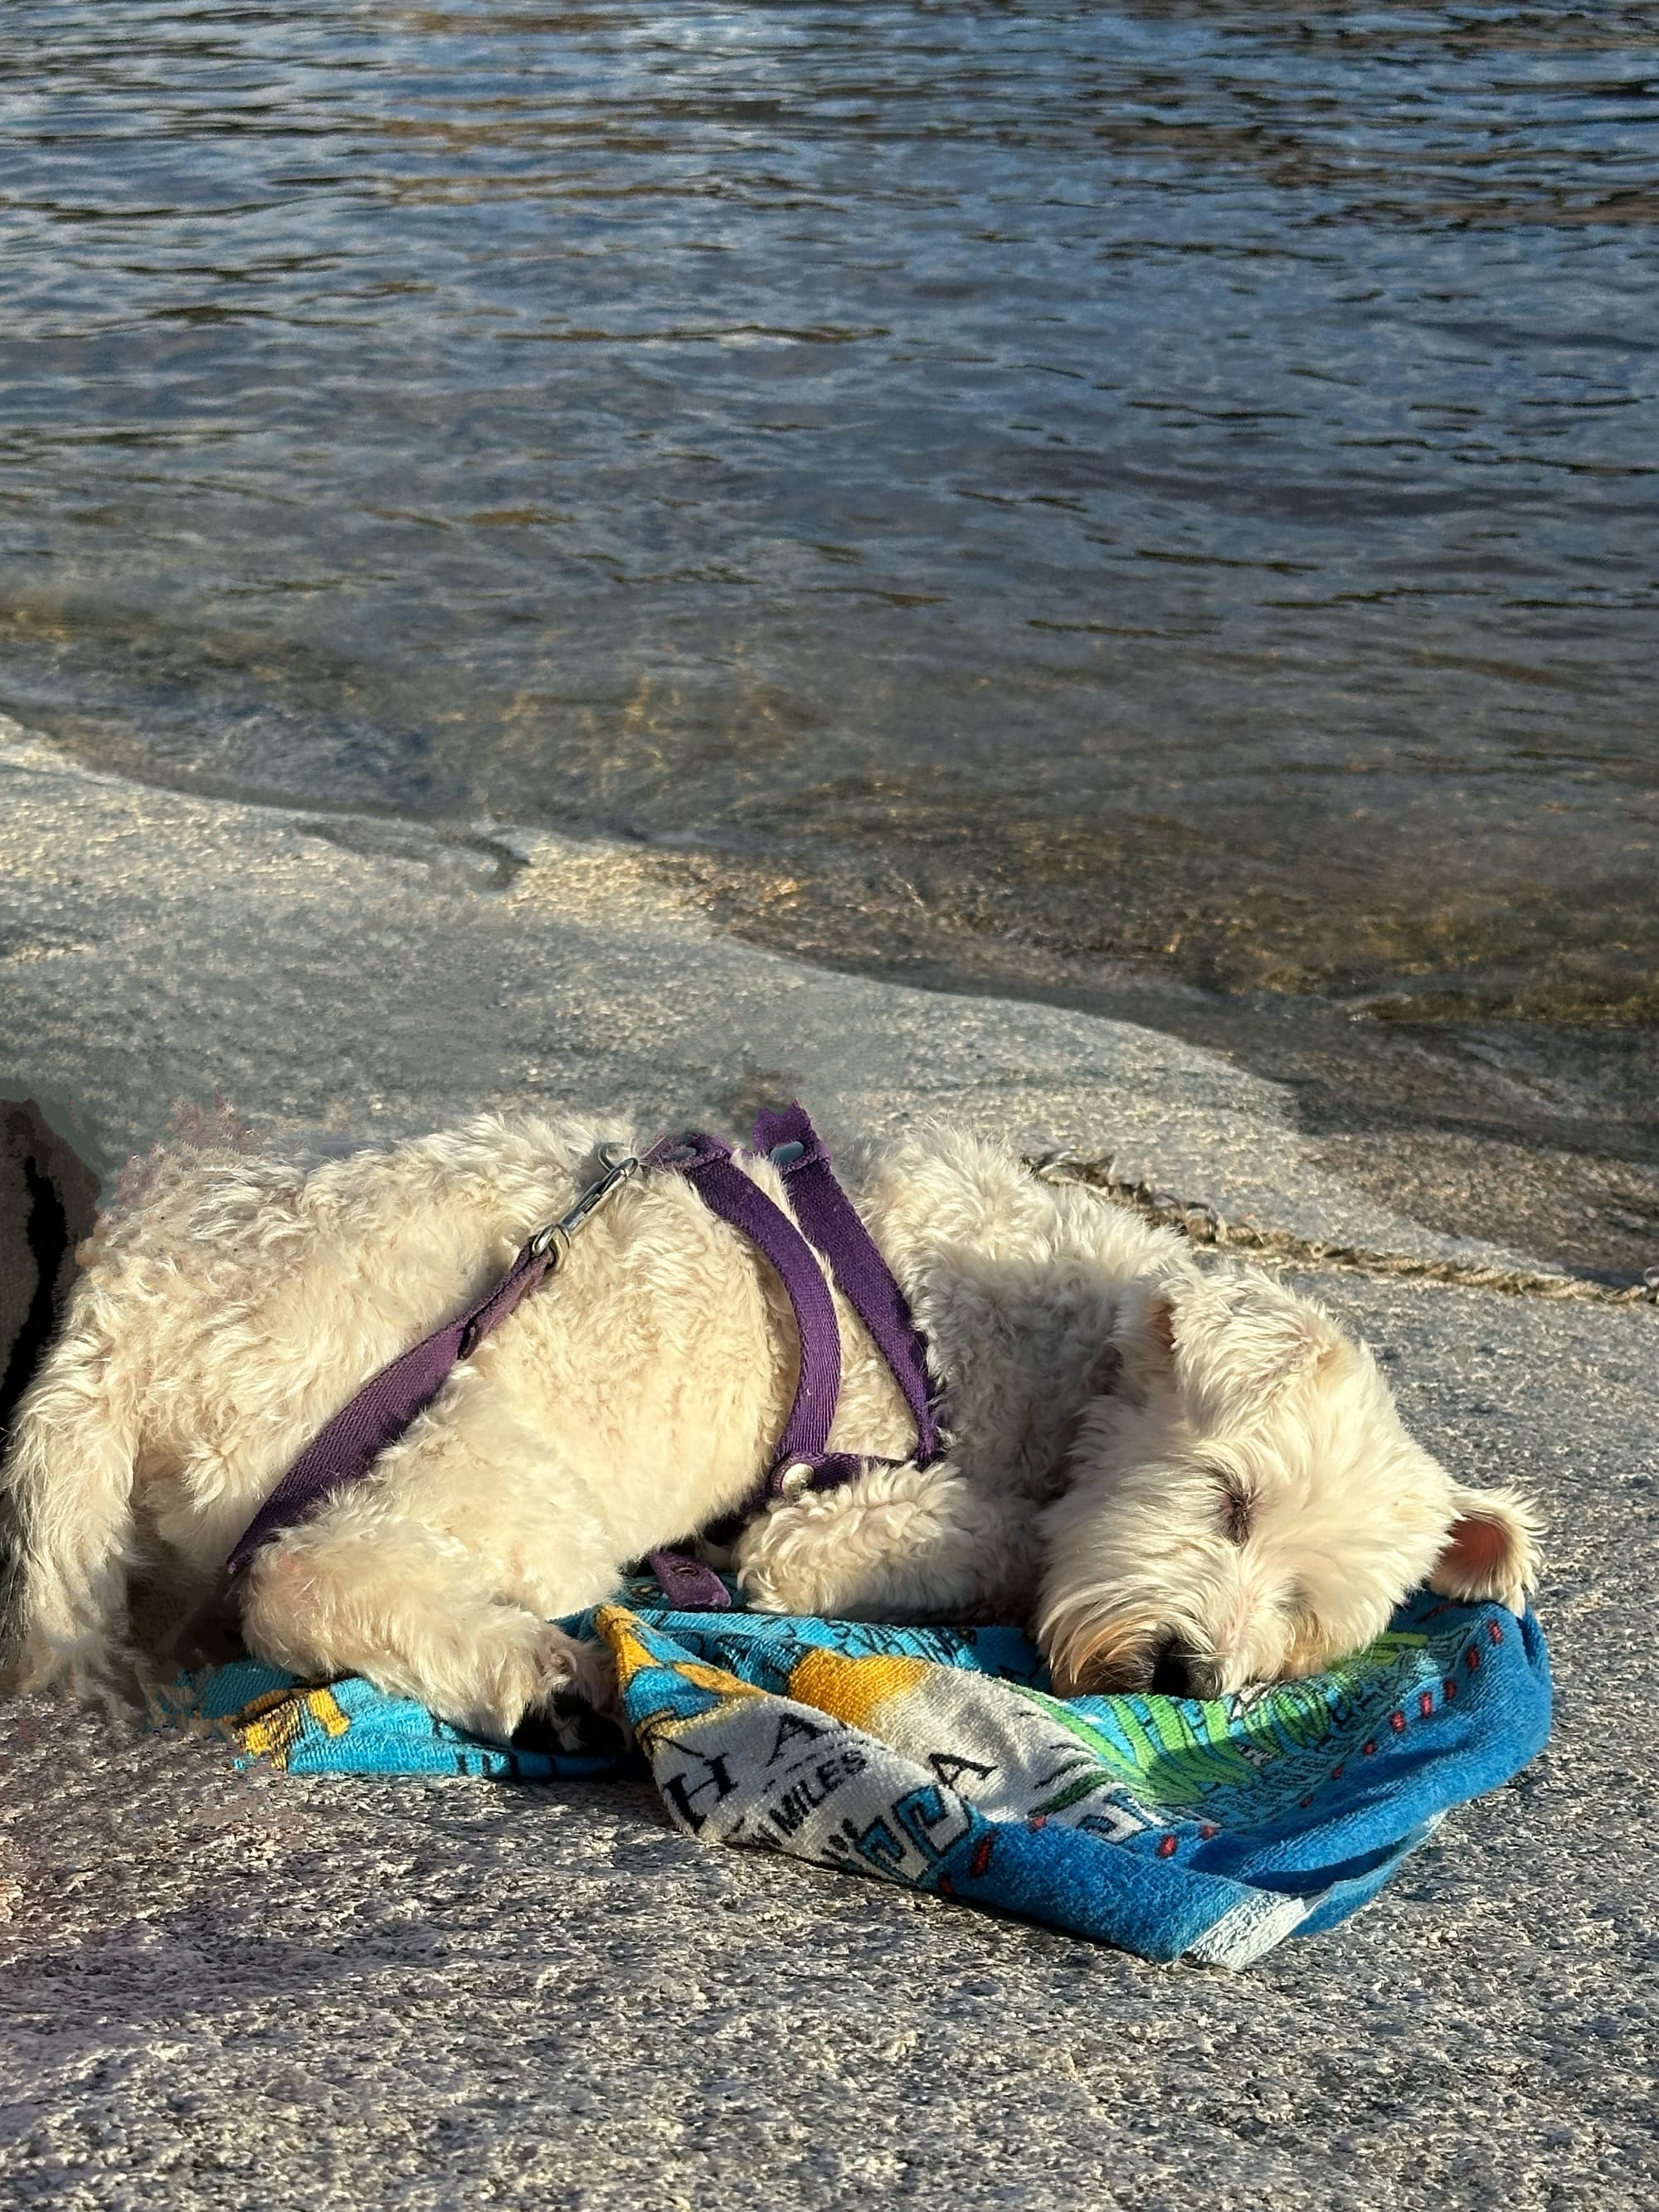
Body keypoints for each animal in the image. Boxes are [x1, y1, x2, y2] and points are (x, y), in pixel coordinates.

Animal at [0, 1115, 1540, 1733]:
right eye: (1228, 1496)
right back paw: (529, 1669)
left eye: (1306, 1616)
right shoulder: (843, 1506)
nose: (1182, 1669)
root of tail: (117, 1321)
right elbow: (910, 1532)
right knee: (308, 1577)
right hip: (505, 1457)